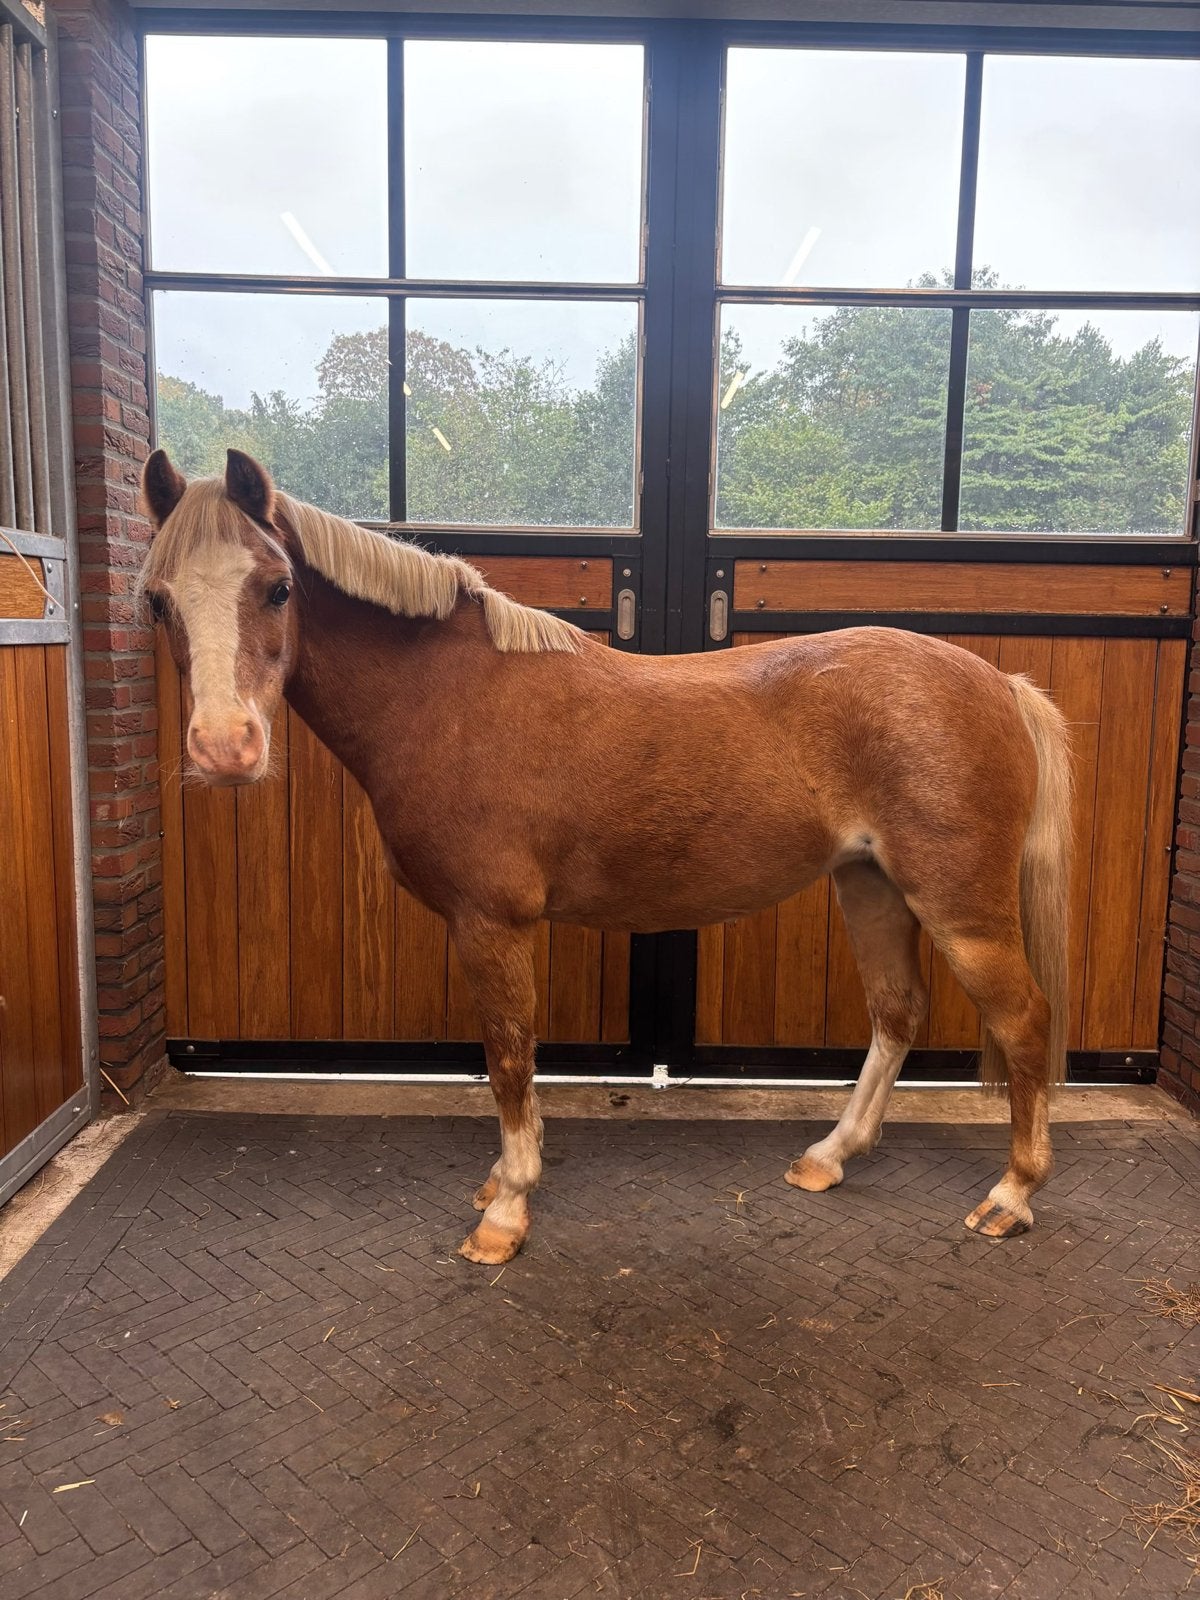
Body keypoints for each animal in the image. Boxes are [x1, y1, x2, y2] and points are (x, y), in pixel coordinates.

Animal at [138, 446, 1072, 1266]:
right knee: (897, 1012)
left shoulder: (492, 924)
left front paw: (507, 1211)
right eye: (156, 601)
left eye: (278, 588)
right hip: (869, 884)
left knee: (1025, 1020)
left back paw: (1011, 1196)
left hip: (959, 907)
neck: (445, 699)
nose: (225, 749)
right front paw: (502, 1182)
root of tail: (1000, 684)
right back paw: (830, 1156)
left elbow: (509, 1057)